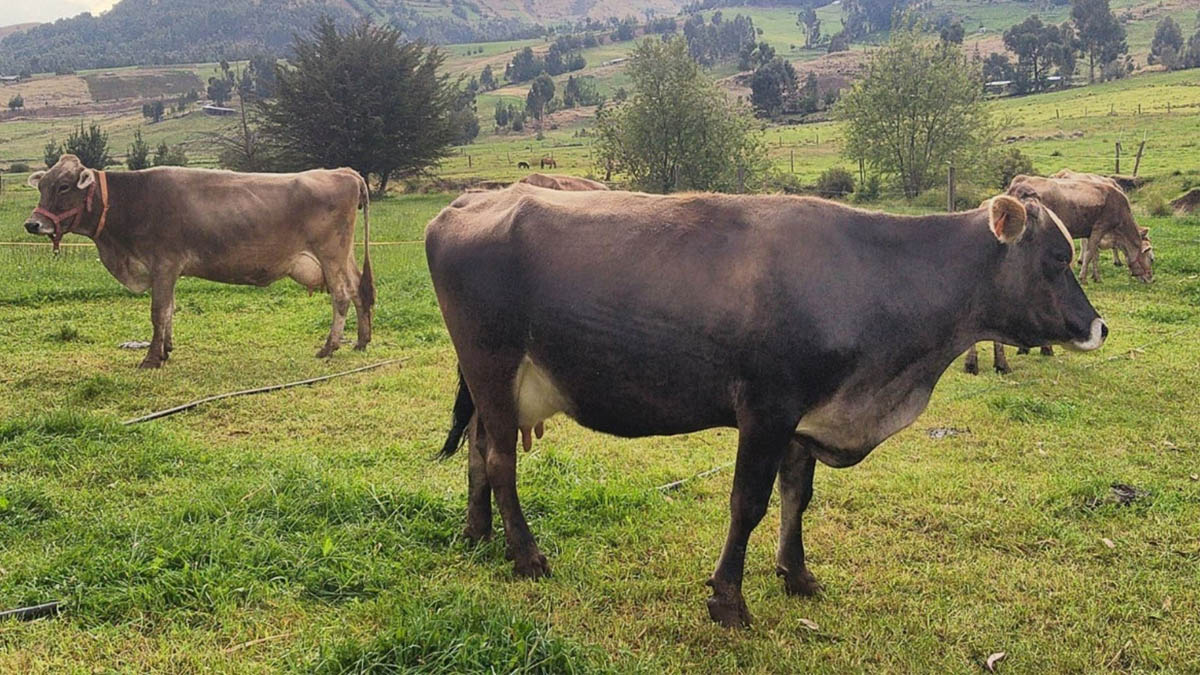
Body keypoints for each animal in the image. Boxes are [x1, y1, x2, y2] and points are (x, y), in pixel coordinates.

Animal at [24, 155, 374, 368]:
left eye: (63, 186)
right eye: (42, 186)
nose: (32, 224)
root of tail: (344, 172)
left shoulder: (164, 264)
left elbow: (158, 312)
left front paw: (151, 358)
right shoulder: (168, 270)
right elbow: (169, 310)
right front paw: (166, 350)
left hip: (330, 253)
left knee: (342, 295)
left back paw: (329, 346)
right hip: (344, 255)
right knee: (359, 289)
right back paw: (361, 340)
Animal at [425, 183, 1107, 627]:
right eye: (1056, 258)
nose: (1099, 327)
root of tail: (467, 203)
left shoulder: (807, 416)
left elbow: (796, 496)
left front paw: (796, 574)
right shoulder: (767, 408)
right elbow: (747, 502)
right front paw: (728, 600)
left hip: (491, 385)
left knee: (479, 450)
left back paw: (477, 534)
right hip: (493, 365)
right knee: (502, 463)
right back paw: (526, 555)